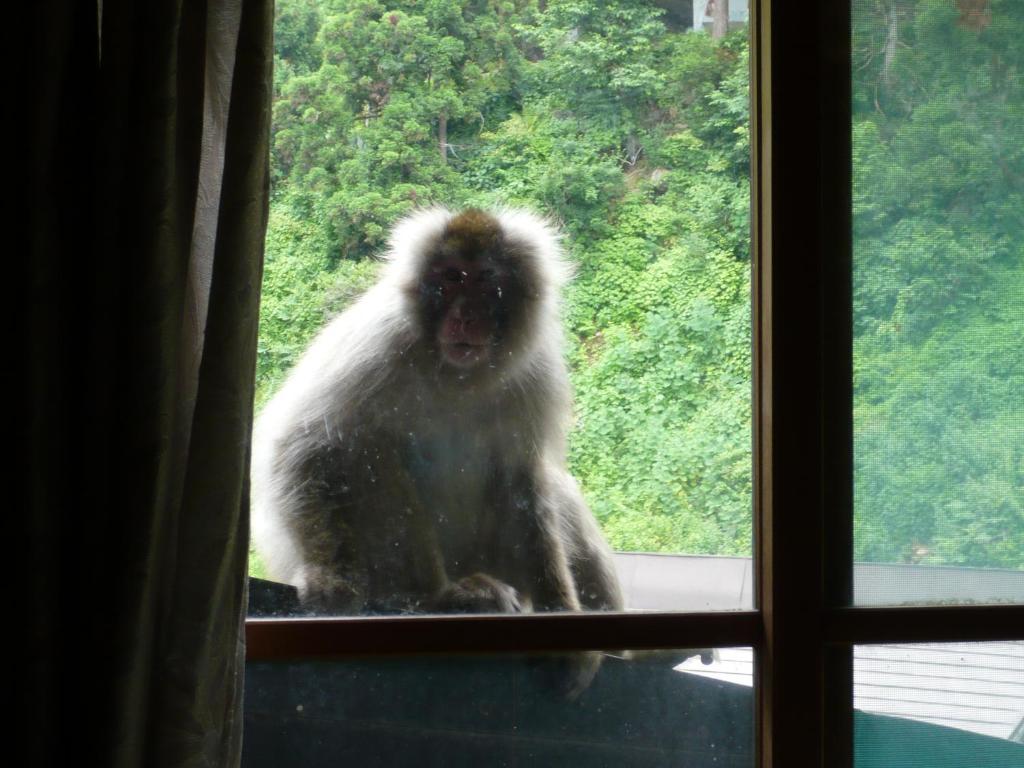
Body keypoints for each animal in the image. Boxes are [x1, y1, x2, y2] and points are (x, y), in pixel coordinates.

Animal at [253, 210, 622, 696]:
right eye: (450, 278)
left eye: (485, 282)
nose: (465, 317)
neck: (456, 376)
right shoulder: (380, 340)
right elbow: (305, 441)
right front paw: (330, 578)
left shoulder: (535, 373)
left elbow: (522, 480)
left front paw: (564, 631)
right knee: (364, 447)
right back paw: (442, 596)